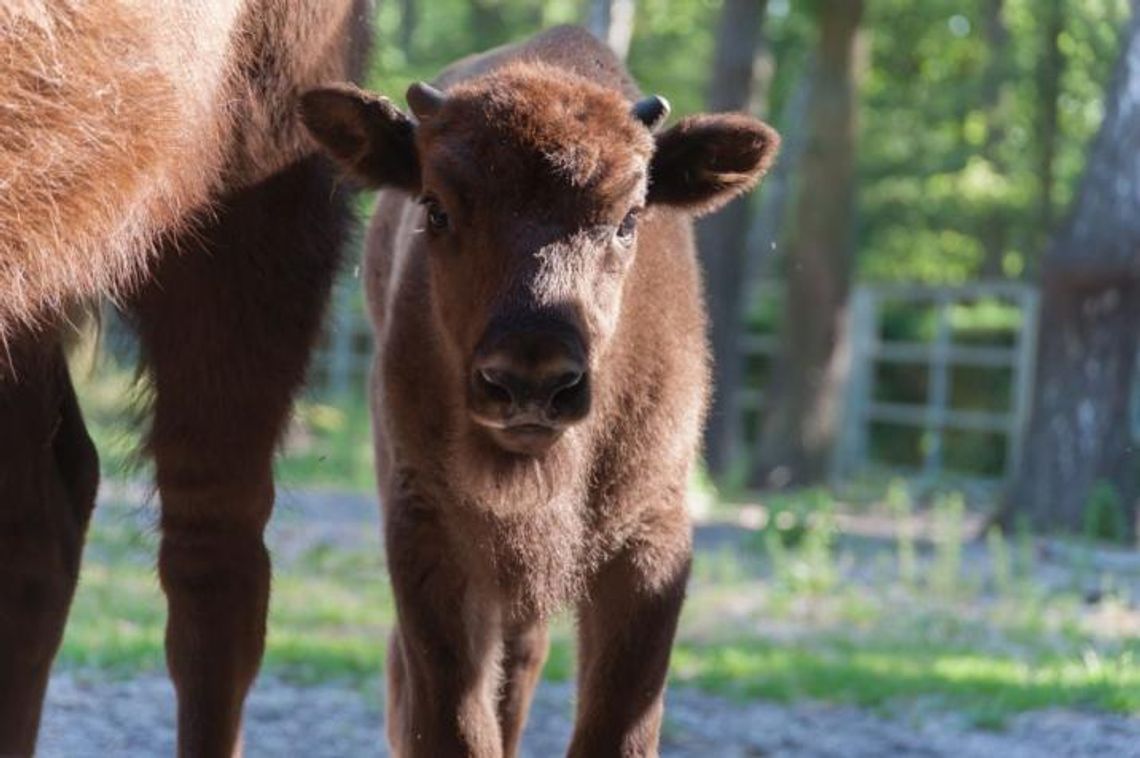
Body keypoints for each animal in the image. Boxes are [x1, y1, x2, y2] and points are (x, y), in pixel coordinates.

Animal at [303, 25, 779, 756]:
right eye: (436, 209)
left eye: (628, 218)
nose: (531, 380)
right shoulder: (429, 528)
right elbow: (454, 720)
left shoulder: (651, 538)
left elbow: (616, 722)